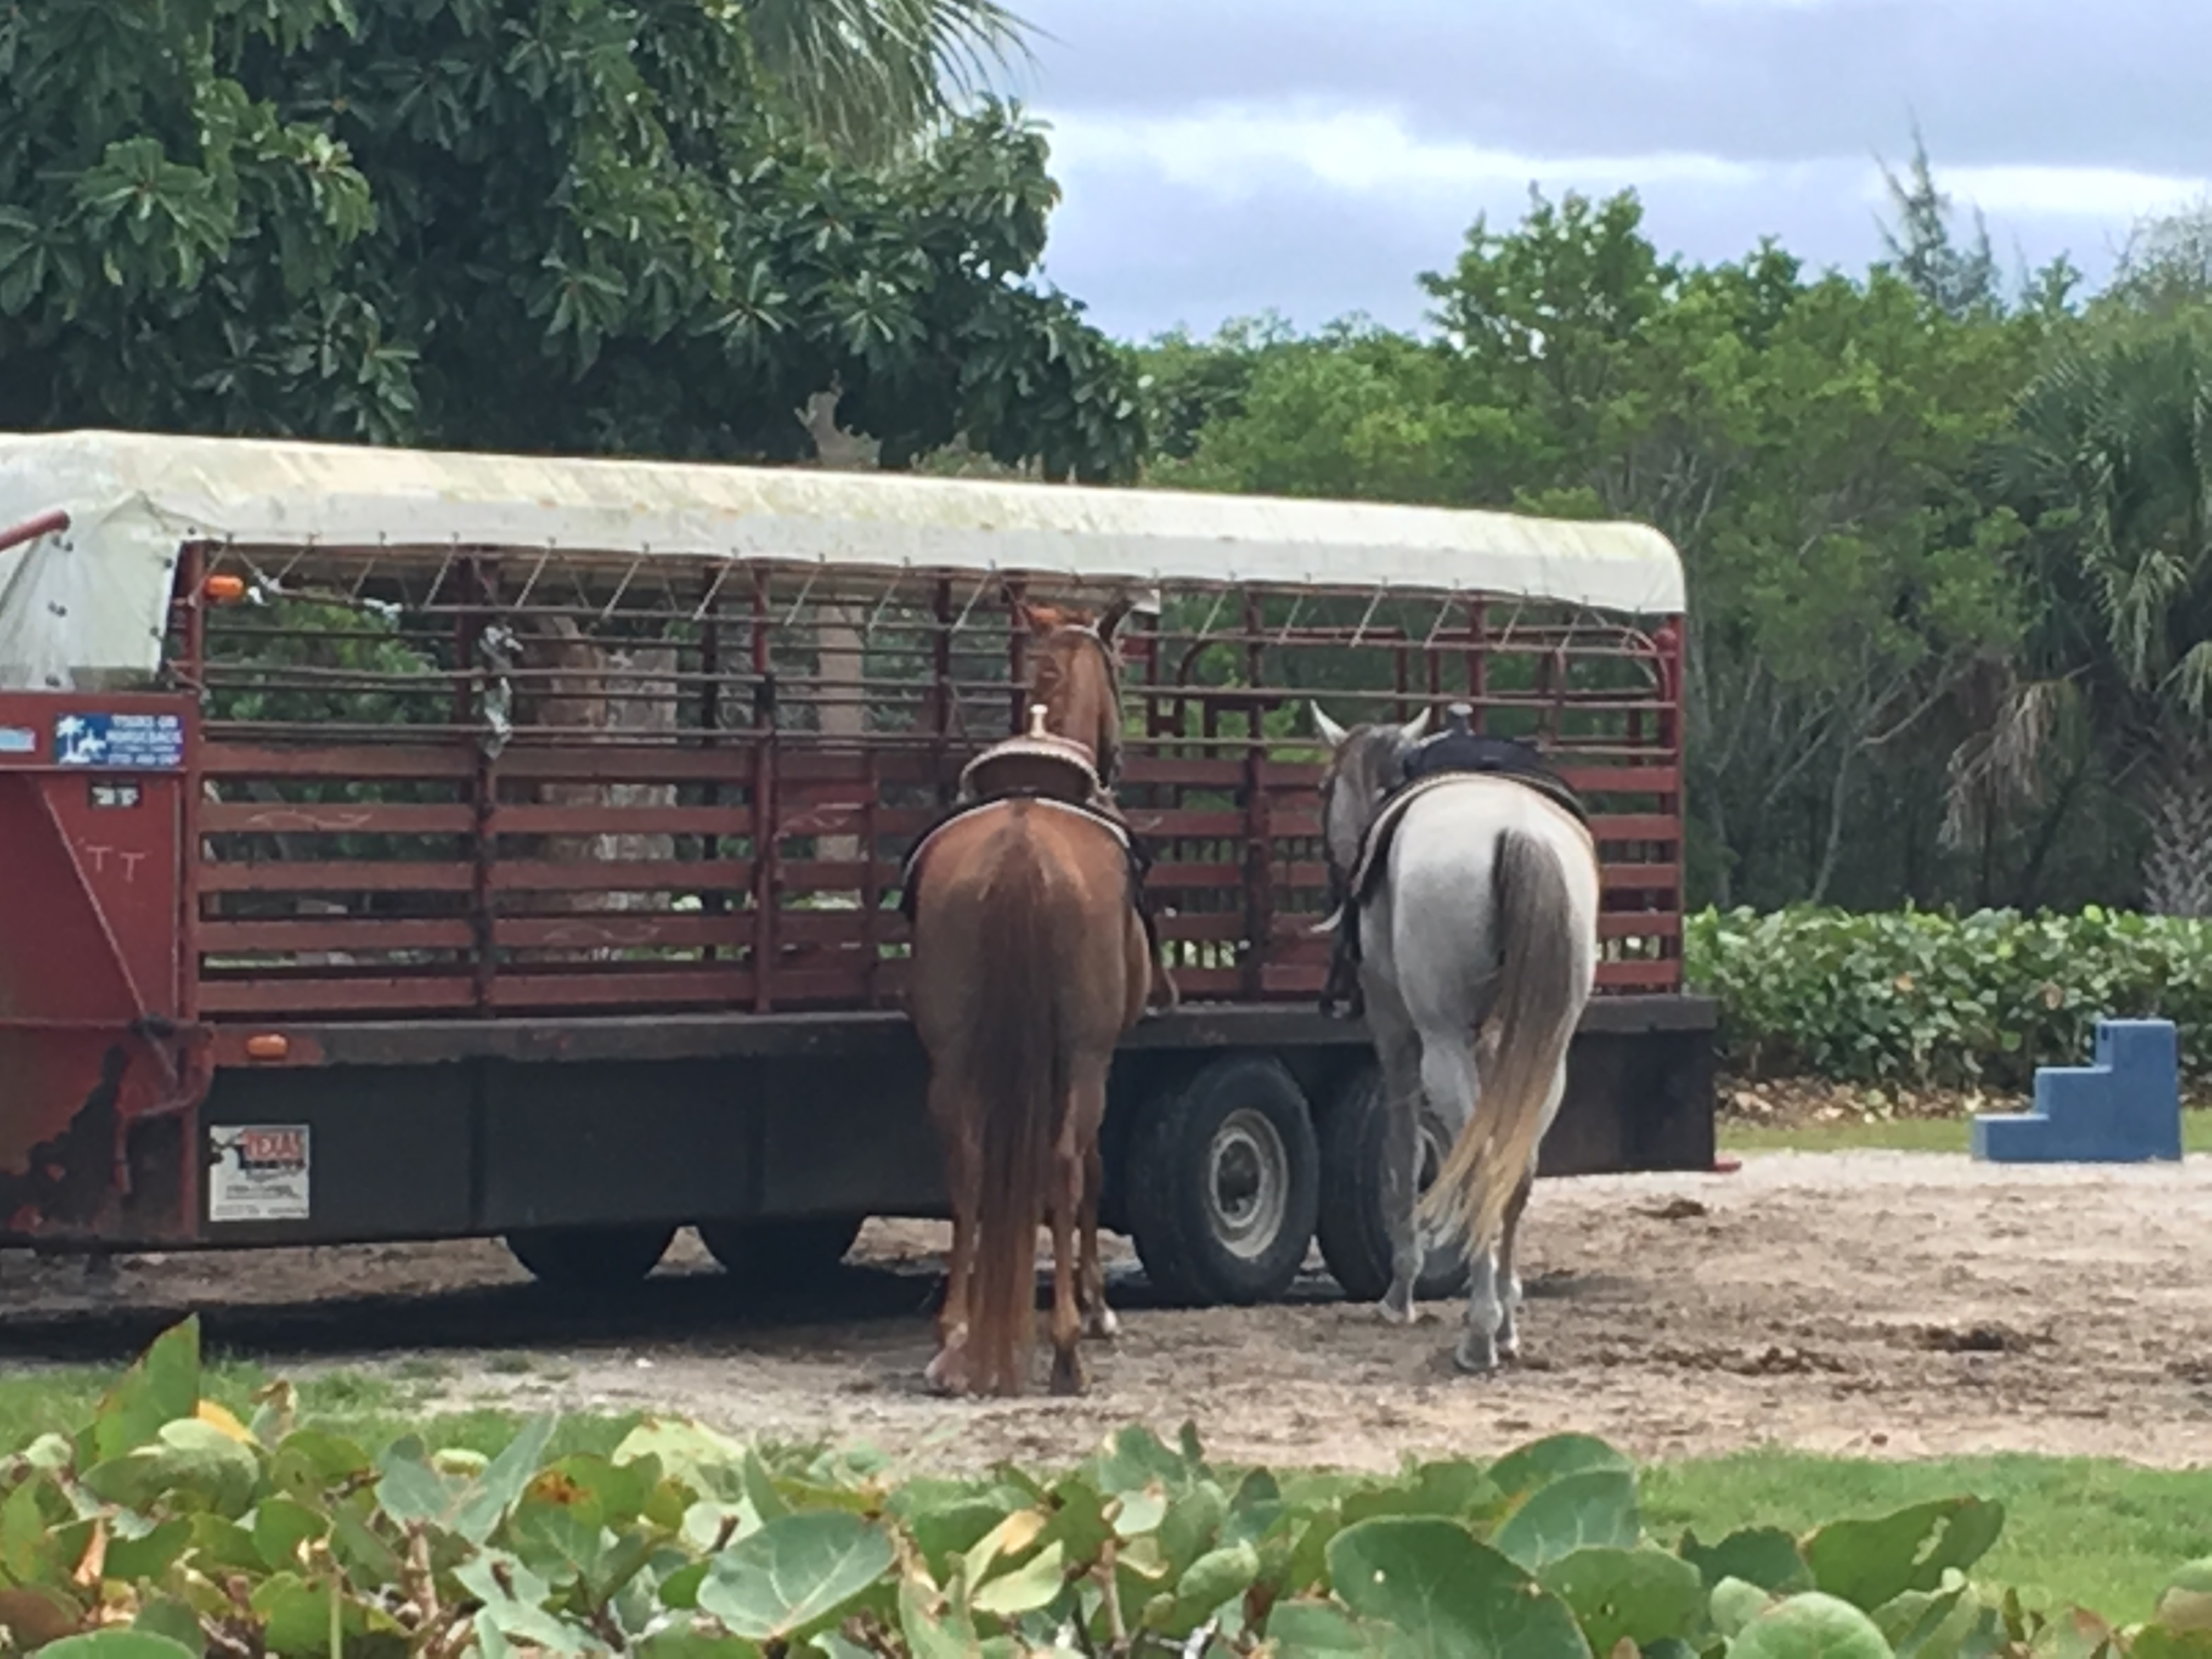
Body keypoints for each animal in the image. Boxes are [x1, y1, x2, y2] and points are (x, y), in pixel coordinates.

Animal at [898, 601, 1150, 1407]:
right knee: (1066, 1163)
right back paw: (1067, 1345)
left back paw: (955, 1336)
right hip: (1085, 1058)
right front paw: (1098, 1309)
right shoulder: (1104, 1055)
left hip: (952, 1055)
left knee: (967, 1160)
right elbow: (1092, 1169)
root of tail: (1020, 847)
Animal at [1318, 708, 1601, 1371]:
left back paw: (1478, 1334)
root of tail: (1518, 832)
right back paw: (1504, 1325)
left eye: (1325, 788)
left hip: (1443, 1045)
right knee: (1516, 1168)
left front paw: (1401, 1290)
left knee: (1480, 1162)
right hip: (1549, 1051)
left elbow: (1403, 1155)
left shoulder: (1396, 1035)